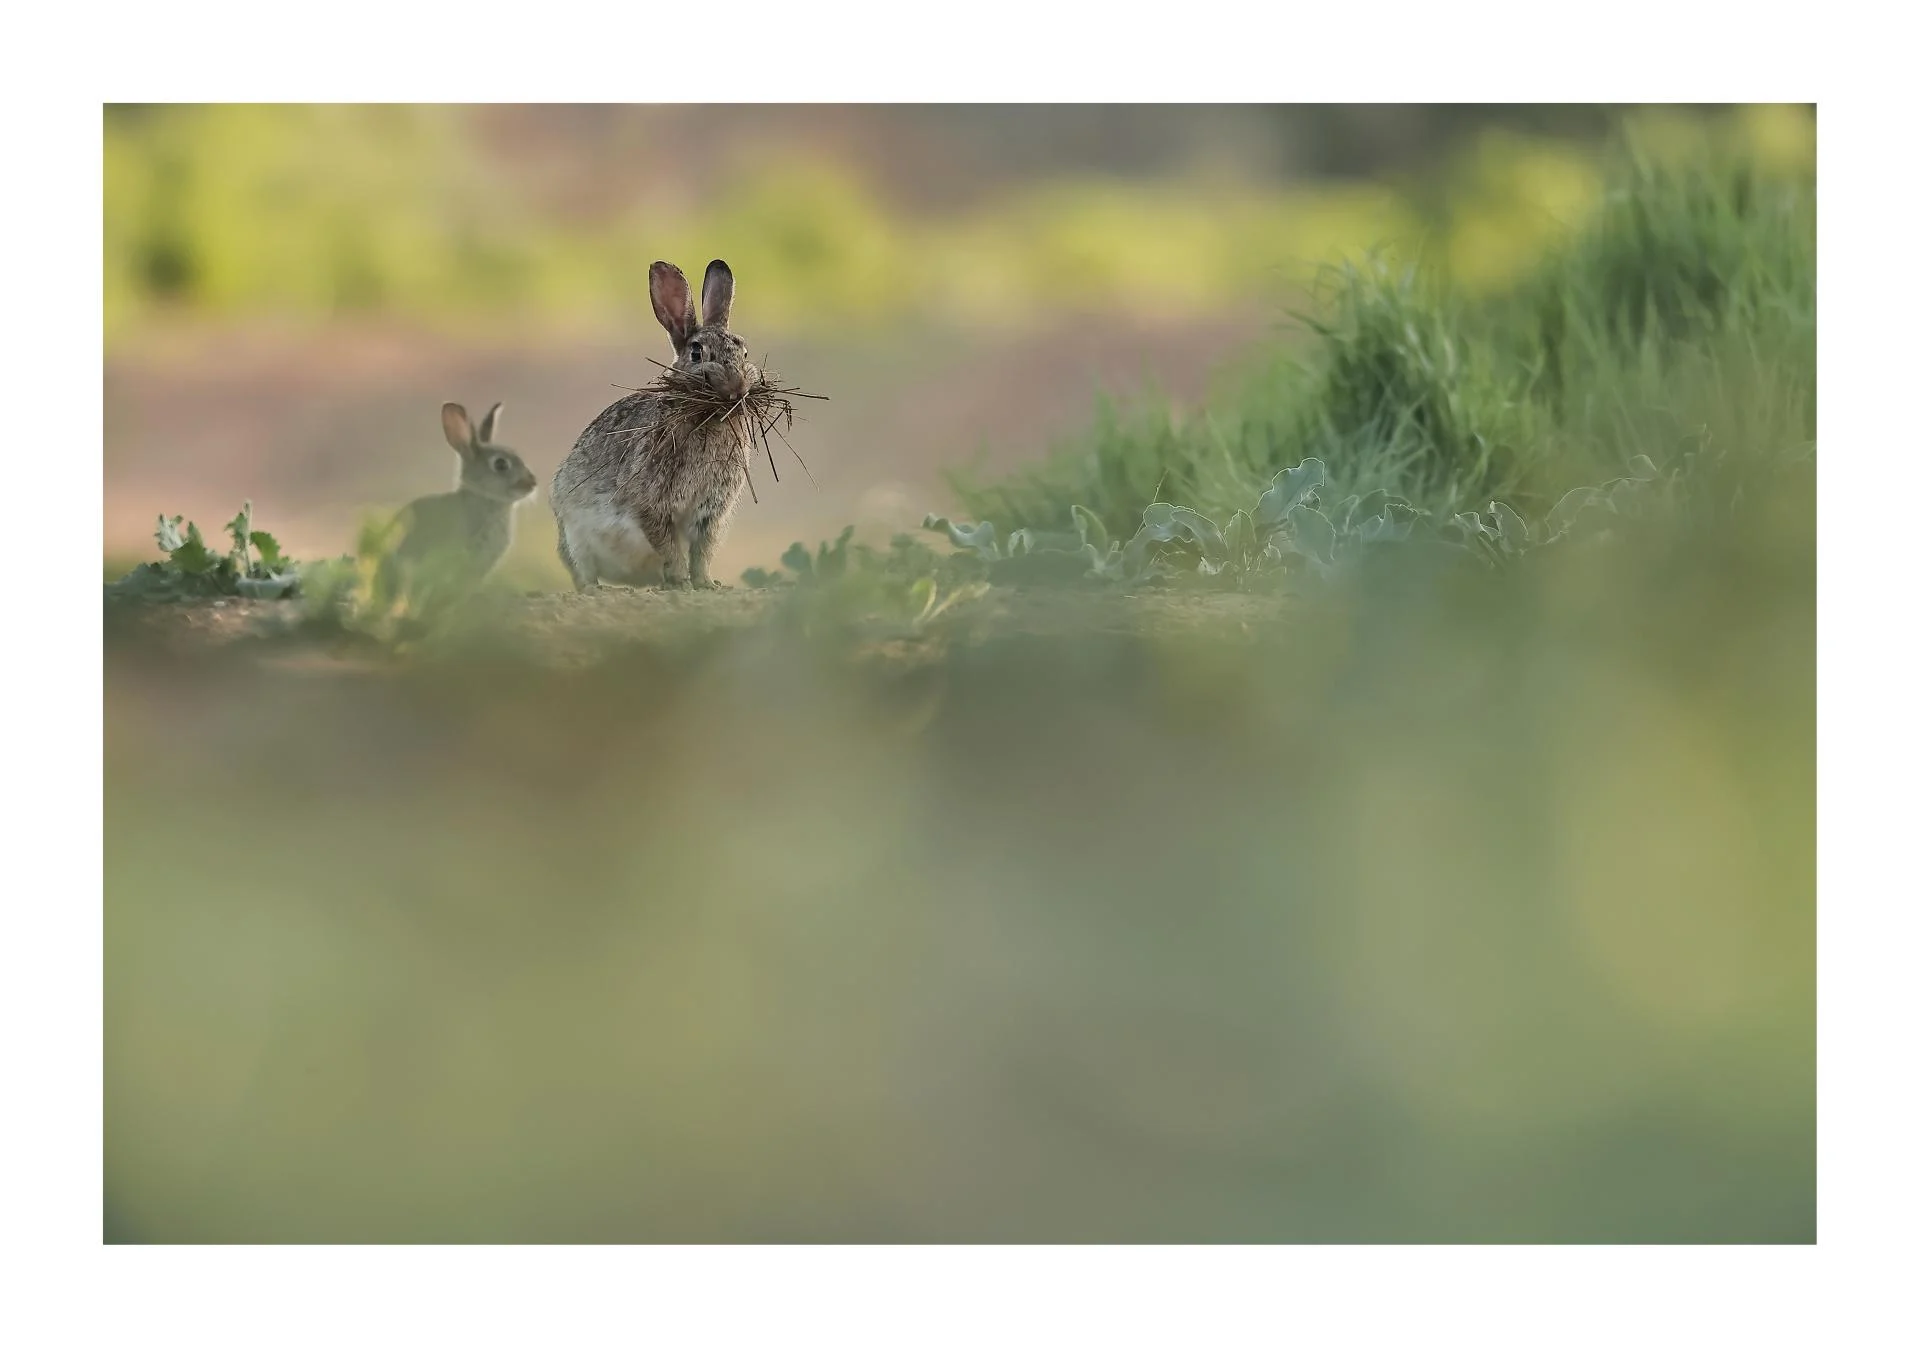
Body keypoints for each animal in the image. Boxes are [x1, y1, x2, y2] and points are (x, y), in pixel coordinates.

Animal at [551, 259, 760, 590]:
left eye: (744, 352)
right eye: (697, 352)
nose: (737, 388)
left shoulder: (711, 512)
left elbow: (702, 551)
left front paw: (705, 583)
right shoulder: (651, 504)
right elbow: (668, 545)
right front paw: (682, 581)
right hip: (573, 535)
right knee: (583, 571)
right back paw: (595, 589)